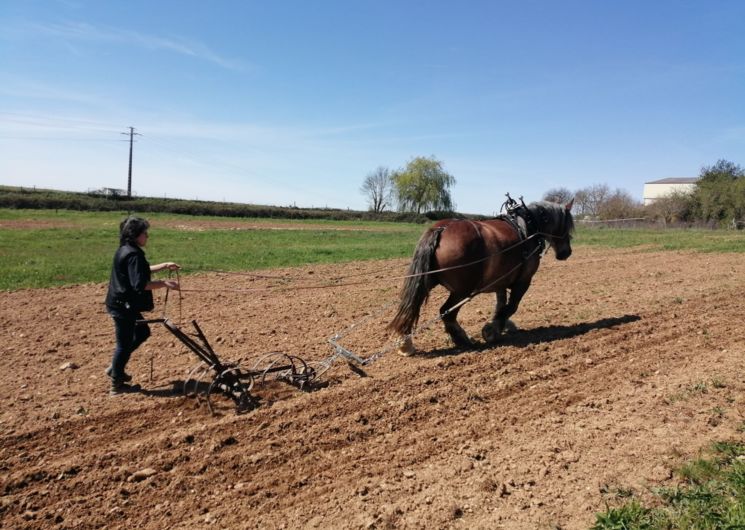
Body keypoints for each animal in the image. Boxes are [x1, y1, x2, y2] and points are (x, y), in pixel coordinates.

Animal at [390, 196, 576, 352]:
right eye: (567, 225)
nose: (566, 252)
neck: (527, 227)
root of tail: (441, 229)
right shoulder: (524, 280)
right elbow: (511, 306)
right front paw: (492, 330)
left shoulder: (501, 281)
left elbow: (500, 304)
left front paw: (501, 325)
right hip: (462, 291)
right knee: (446, 312)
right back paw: (462, 339)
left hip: (425, 281)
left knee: (410, 307)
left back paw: (405, 344)